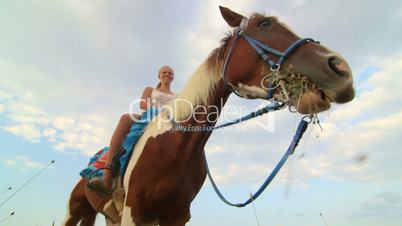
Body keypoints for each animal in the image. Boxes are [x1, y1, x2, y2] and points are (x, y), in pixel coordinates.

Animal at [61, 5, 354, 226]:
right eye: (265, 24)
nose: (339, 68)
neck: (175, 147)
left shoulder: (176, 217)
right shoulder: (134, 213)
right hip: (76, 210)